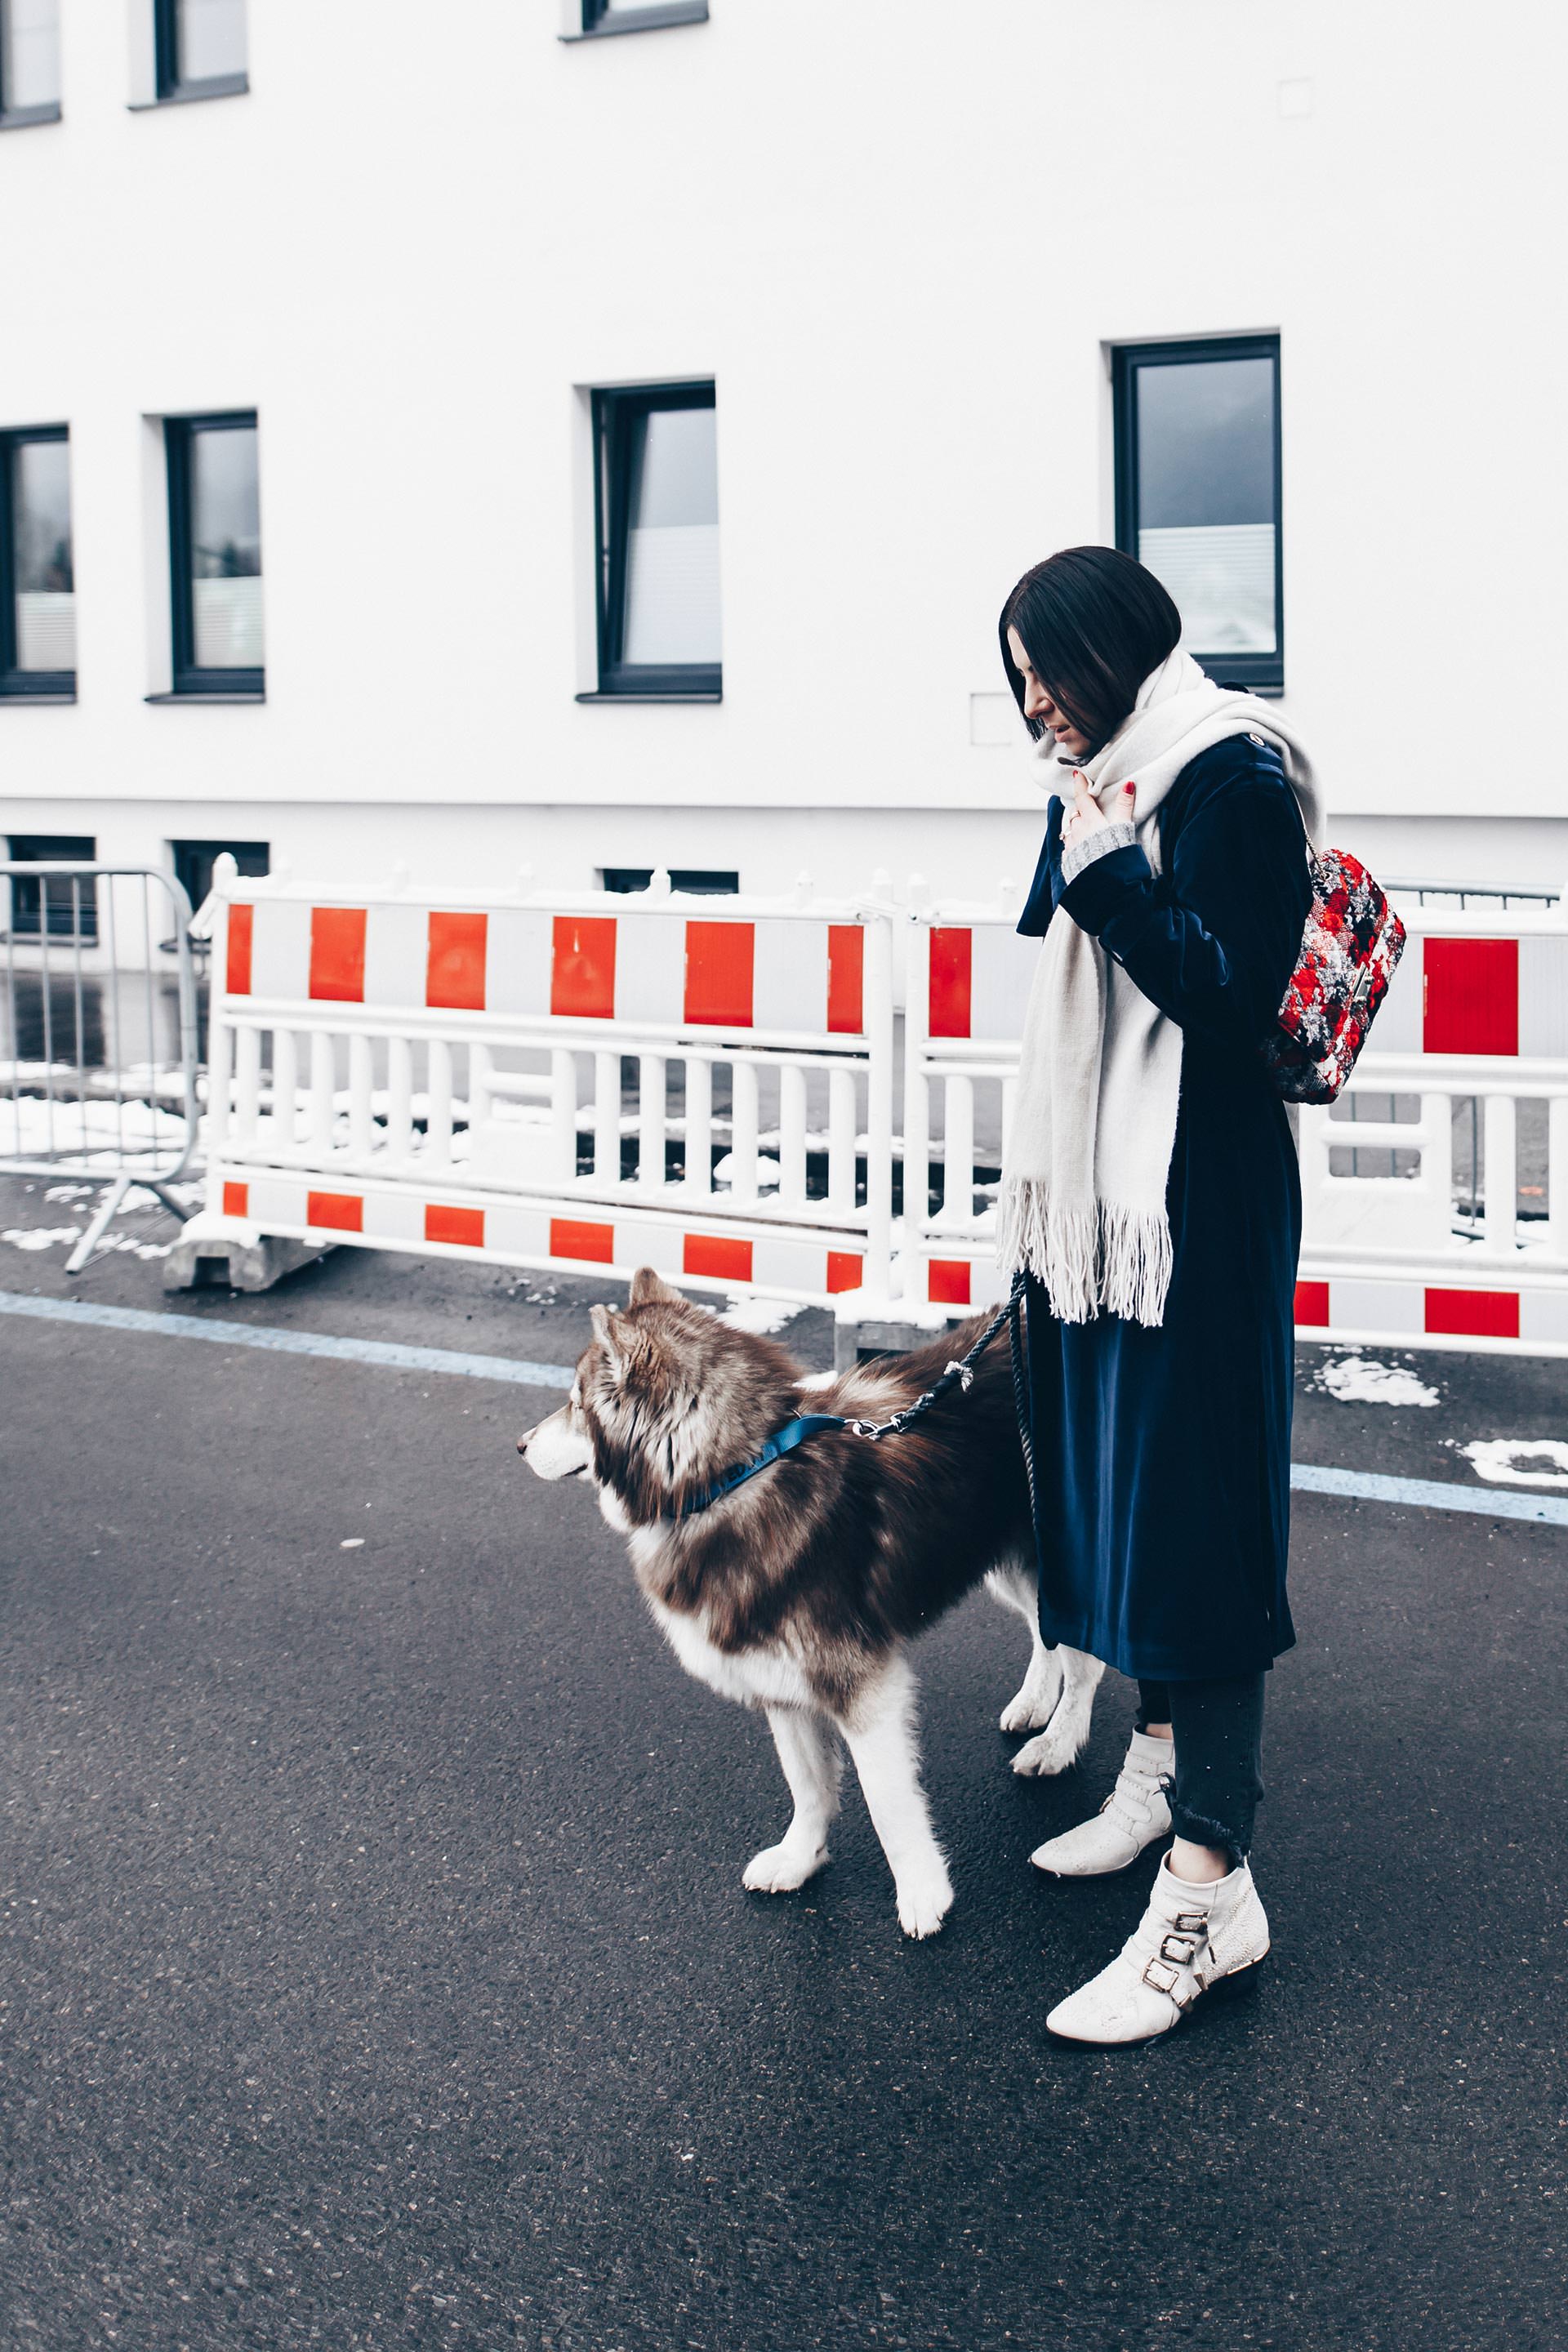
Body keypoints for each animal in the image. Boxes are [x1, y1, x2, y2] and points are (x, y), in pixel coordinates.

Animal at [517, 1279, 1104, 1938]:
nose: (519, 1445)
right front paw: (801, 1858)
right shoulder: (781, 1684)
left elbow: (886, 1803)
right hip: (1005, 1560)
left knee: (1085, 1661)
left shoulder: (860, 1686)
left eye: (575, 1403)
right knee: (1043, 1632)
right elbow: (808, 1785)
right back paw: (1034, 1704)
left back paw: (1058, 1742)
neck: (734, 1475)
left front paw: (922, 1894)